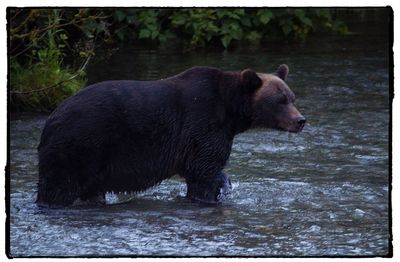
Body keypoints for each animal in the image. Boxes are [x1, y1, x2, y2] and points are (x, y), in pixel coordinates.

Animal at [37, 64, 306, 208]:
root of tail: (51, 118)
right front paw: (212, 194)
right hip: (79, 145)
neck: (231, 112)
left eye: (292, 98)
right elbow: (204, 169)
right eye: (280, 100)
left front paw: (224, 187)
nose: (300, 121)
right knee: (58, 187)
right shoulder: (202, 123)